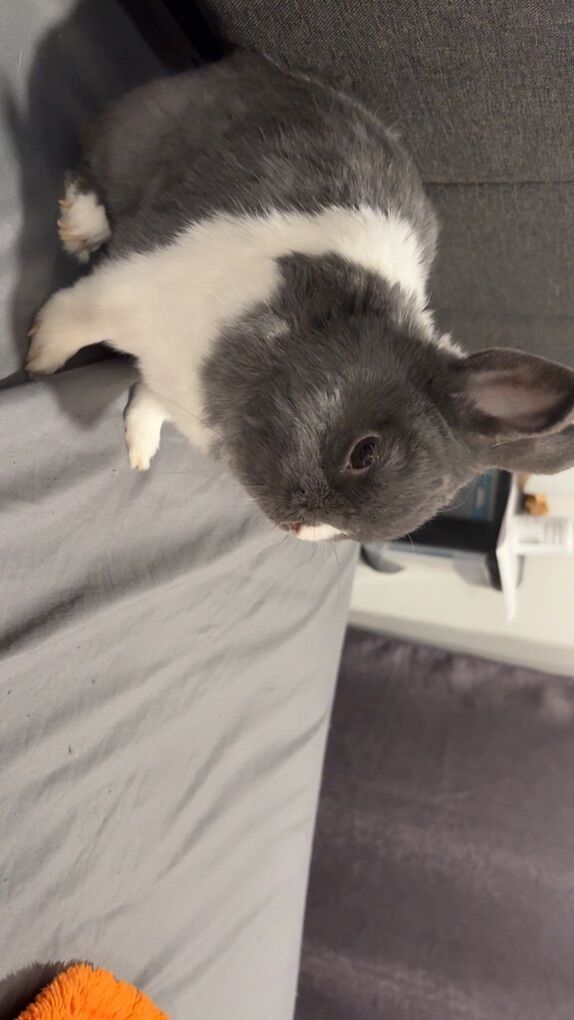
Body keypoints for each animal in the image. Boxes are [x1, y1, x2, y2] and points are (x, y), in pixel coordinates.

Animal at [26, 52, 574, 543]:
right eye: (364, 452)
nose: (298, 525)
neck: (307, 337)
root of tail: (260, 67)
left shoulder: (169, 382)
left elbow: (149, 402)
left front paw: (140, 448)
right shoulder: (135, 287)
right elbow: (77, 317)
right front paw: (38, 359)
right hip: (136, 140)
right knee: (90, 154)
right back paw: (81, 226)